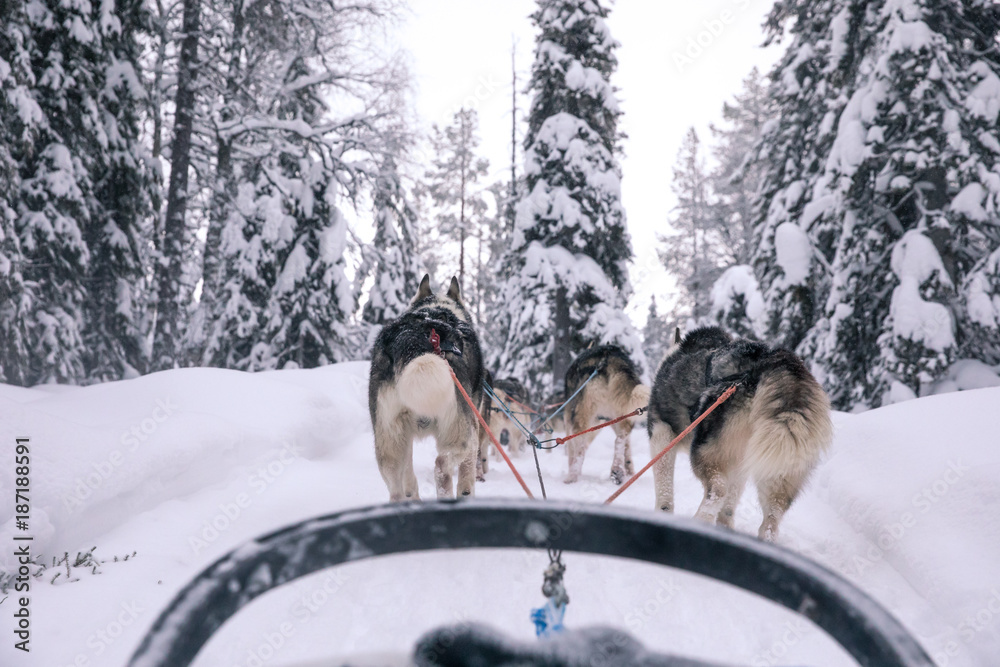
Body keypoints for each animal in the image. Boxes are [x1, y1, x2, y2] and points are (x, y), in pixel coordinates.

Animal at [372, 276, 488, 500]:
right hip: (462, 432)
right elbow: (466, 478)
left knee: (397, 488)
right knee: (441, 466)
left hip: (388, 442)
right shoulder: (472, 429)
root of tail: (413, 337)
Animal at [560, 344, 652, 486]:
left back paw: (572, 477)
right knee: (620, 439)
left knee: (580, 449)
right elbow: (627, 446)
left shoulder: (569, 419)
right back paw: (617, 470)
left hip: (583, 418)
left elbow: (571, 448)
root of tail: (609, 359)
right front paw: (629, 470)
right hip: (623, 415)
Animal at [644, 328, 832, 544]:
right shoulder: (738, 461)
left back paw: (699, 522)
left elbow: (664, 487)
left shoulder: (662, 434)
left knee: (718, 490)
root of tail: (767, 359)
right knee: (771, 518)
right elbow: (729, 507)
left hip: (705, 451)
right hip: (776, 468)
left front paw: (662, 514)